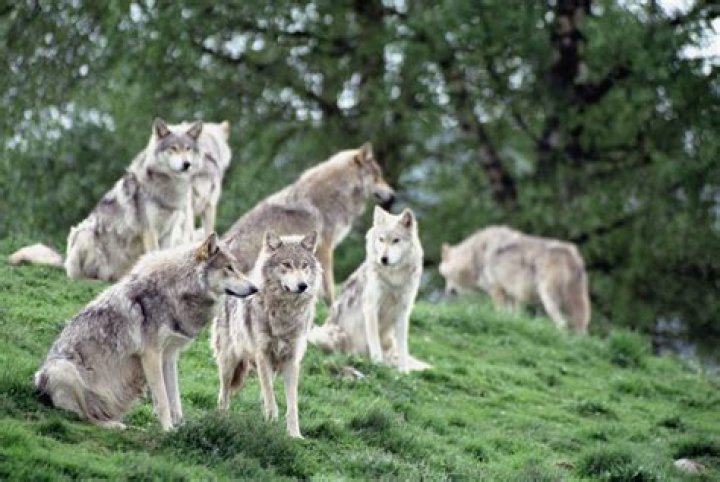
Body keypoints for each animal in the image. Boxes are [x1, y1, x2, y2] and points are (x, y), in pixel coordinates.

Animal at [34, 233, 257, 430]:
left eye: (236, 267)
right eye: (229, 268)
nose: (255, 288)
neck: (177, 292)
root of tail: (38, 385)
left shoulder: (169, 357)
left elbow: (175, 399)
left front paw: (181, 428)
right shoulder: (151, 355)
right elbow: (163, 400)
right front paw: (168, 431)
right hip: (64, 369)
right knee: (84, 417)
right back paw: (115, 426)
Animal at [63, 118, 202, 281]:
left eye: (188, 148)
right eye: (173, 148)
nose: (187, 164)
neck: (168, 186)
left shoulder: (168, 232)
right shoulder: (149, 229)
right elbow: (154, 252)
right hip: (84, 232)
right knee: (84, 276)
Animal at [212, 230, 320, 438]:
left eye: (304, 265)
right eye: (286, 264)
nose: (303, 285)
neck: (285, 313)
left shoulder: (291, 361)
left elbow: (292, 405)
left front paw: (294, 435)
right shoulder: (263, 356)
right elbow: (270, 395)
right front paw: (271, 422)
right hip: (228, 363)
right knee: (224, 395)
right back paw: (223, 420)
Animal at [309, 207, 430, 373]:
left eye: (396, 240)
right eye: (381, 239)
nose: (383, 259)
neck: (394, 277)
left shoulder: (403, 311)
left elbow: (403, 347)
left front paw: (403, 371)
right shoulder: (371, 307)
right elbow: (374, 341)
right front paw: (377, 364)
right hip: (329, 334)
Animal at [440, 226, 591, 333]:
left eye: (445, 276)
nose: (448, 292)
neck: (474, 255)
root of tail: (571, 256)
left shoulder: (496, 289)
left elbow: (500, 312)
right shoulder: (512, 295)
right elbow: (512, 316)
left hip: (549, 299)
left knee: (562, 324)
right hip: (575, 304)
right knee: (580, 326)